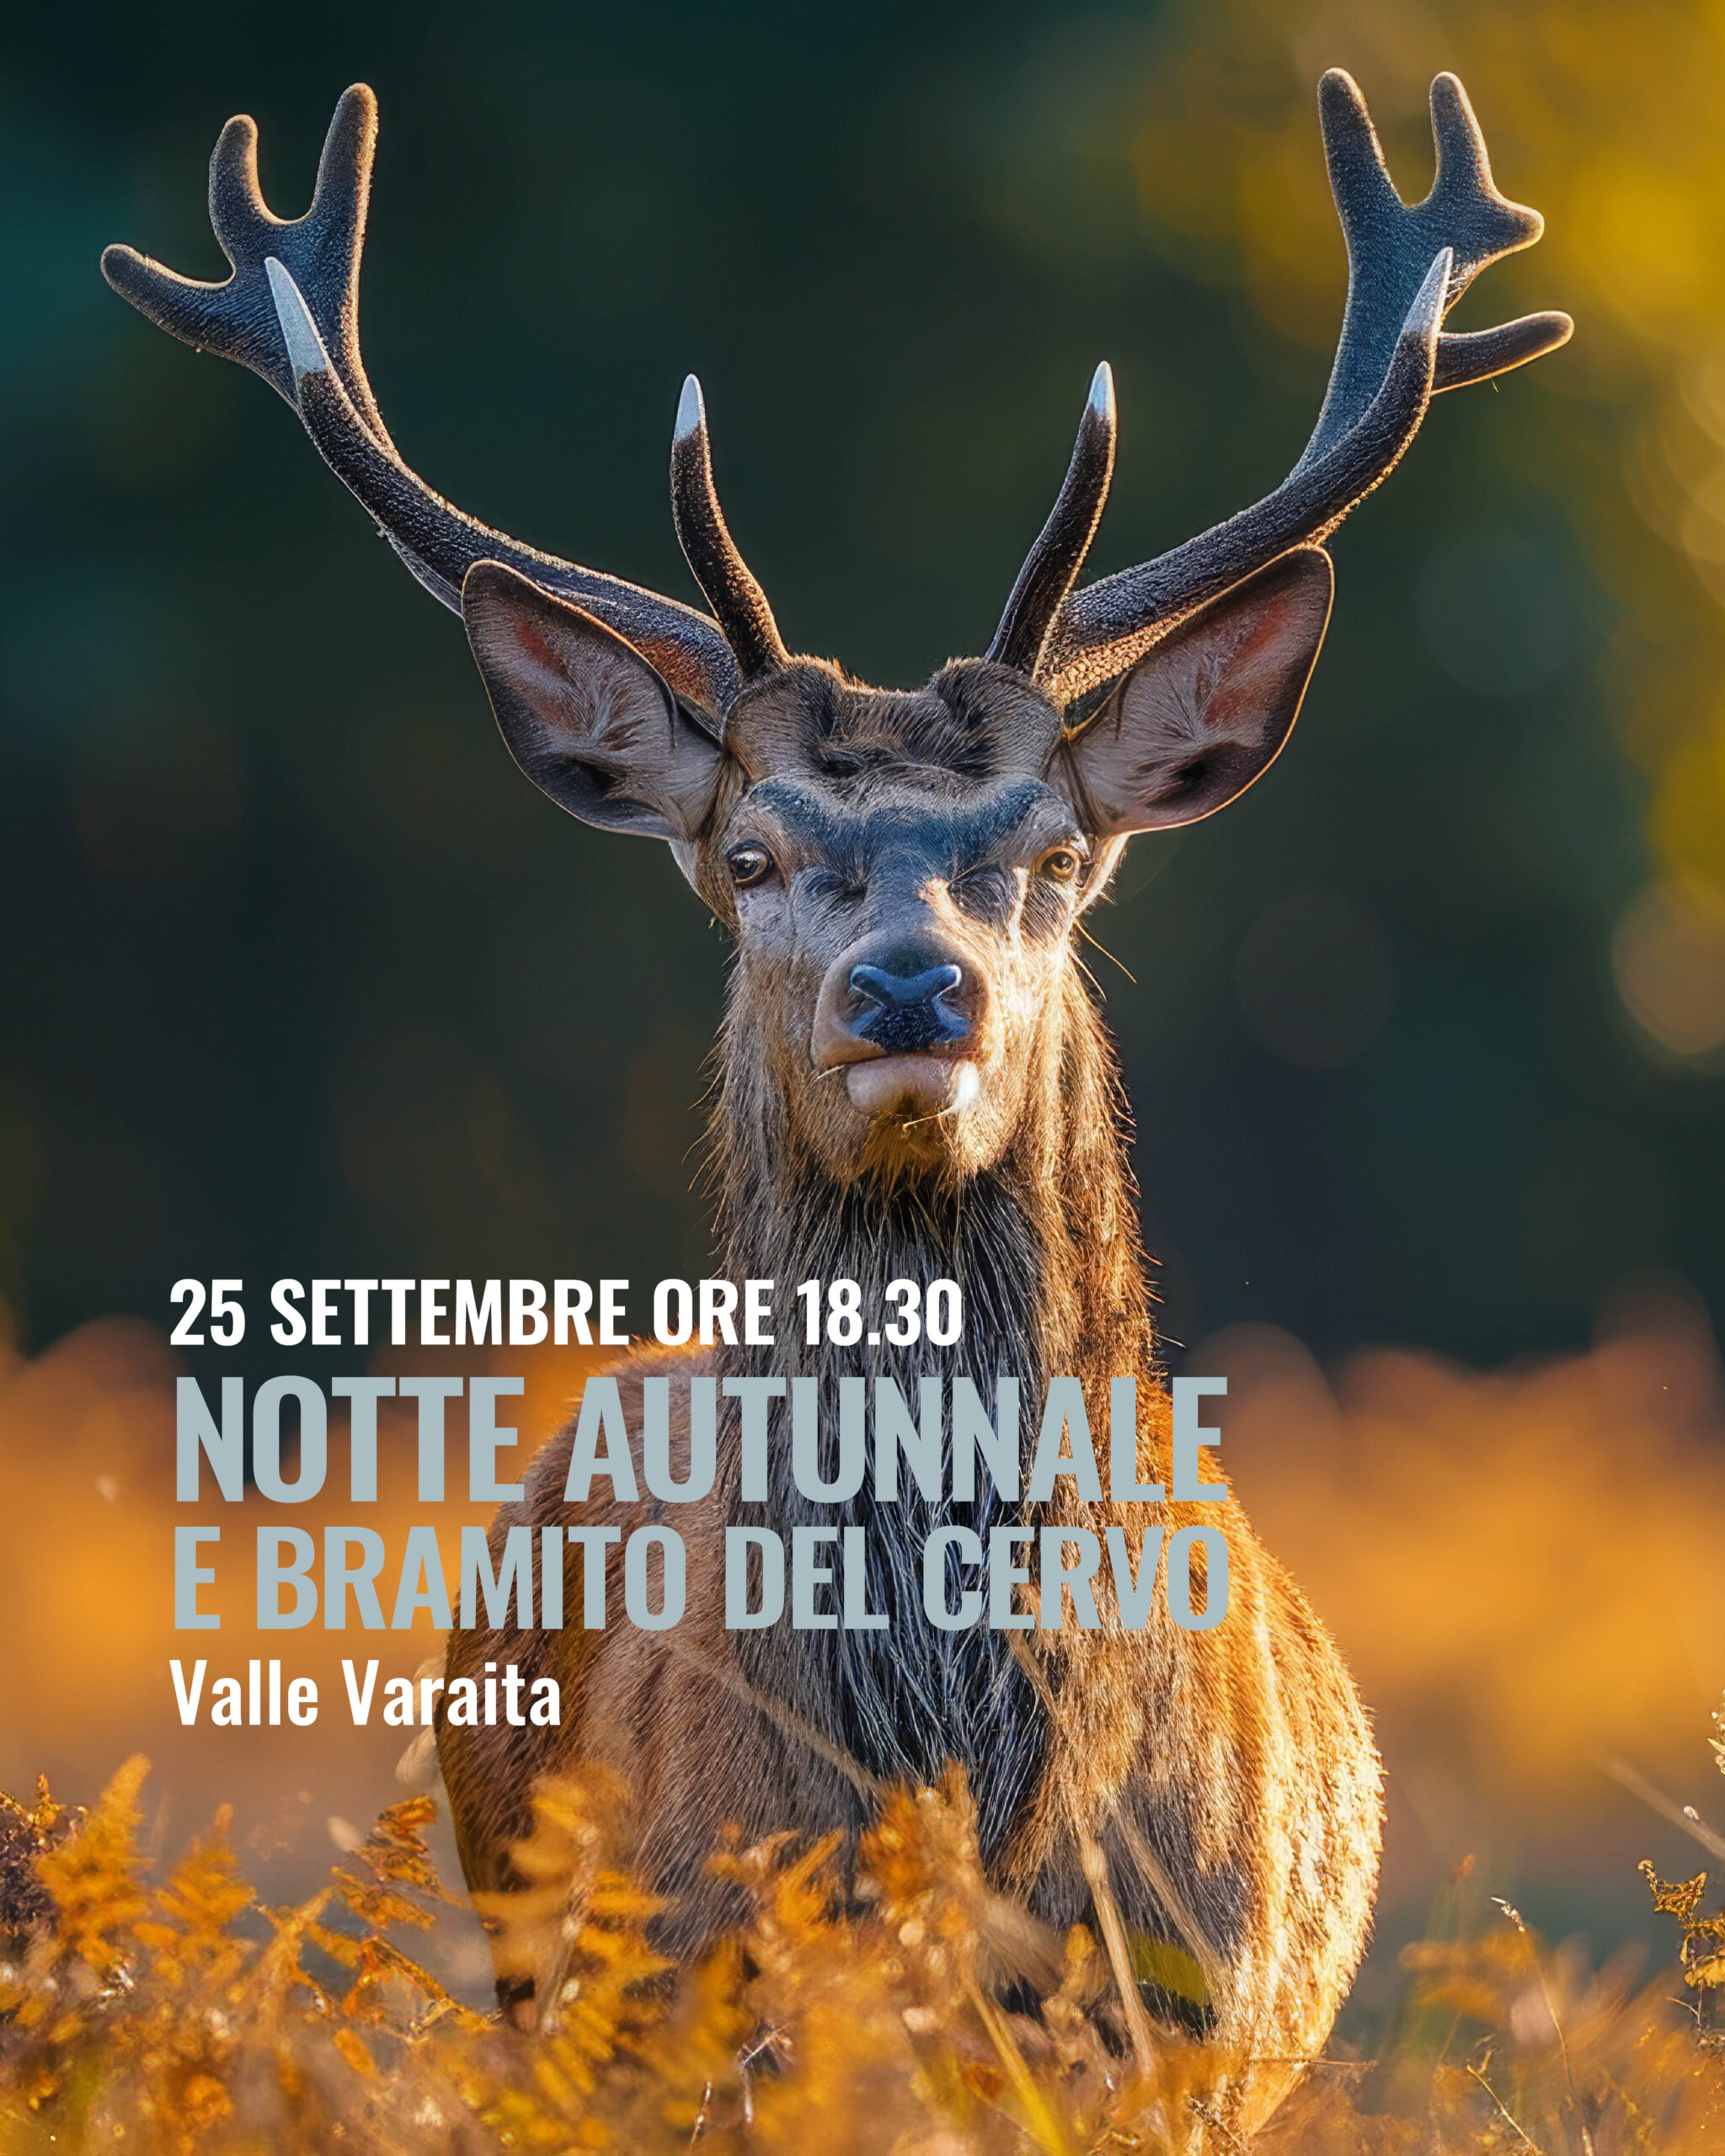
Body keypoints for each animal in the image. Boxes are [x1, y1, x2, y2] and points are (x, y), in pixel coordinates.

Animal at [106, 69, 1568, 2132]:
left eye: (1054, 853)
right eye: (752, 854)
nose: (909, 986)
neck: (959, 1812)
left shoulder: (1191, 2028)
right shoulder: (693, 1998)